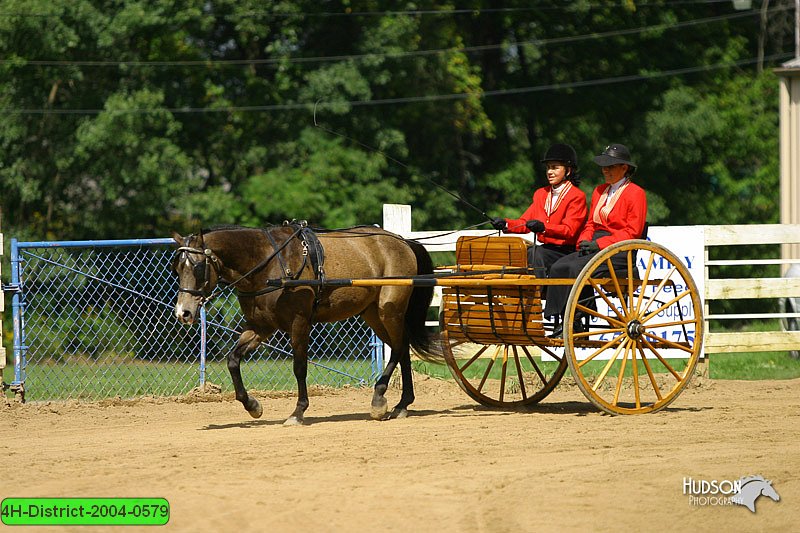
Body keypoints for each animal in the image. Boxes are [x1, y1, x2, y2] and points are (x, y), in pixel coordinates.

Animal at [170, 221, 444, 424]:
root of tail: (402, 241)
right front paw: (253, 406)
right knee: (403, 348)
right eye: (177, 269)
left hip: (390, 310)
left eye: (197, 267)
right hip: (373, 314)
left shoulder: (299, 323)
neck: (267, 263)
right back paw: (402, 404)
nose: (183, 313)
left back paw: (380, 398)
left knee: (399, 347)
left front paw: (298, 411)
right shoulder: (260, 327)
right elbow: (233, 360)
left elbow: (299, 367)